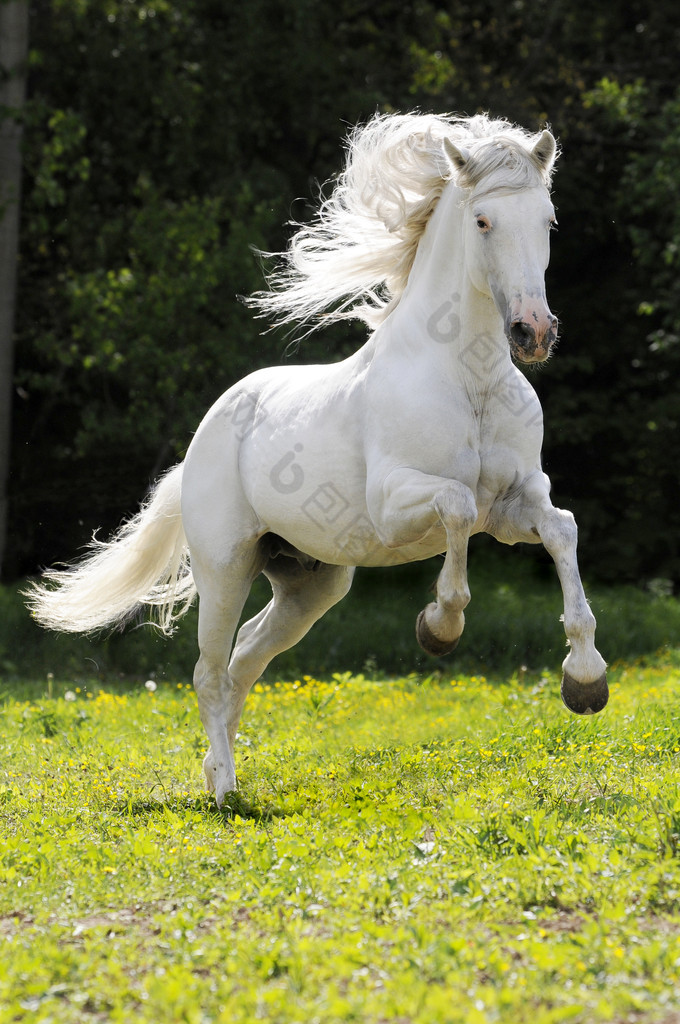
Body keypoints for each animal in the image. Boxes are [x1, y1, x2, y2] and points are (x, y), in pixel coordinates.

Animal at [26, 112, 608, 807]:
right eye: (483, 221)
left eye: (548, 220)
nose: (533, 332)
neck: (468, 378)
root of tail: (204, 437)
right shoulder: (396, 506)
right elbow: (456, 507)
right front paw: (438, 627)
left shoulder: (517, 502)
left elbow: (561, 528)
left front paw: (585, 680)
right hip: (226, 568)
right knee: (209, 672)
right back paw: (226, 794)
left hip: (310, 584)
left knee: (244, 661)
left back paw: (217, 770)